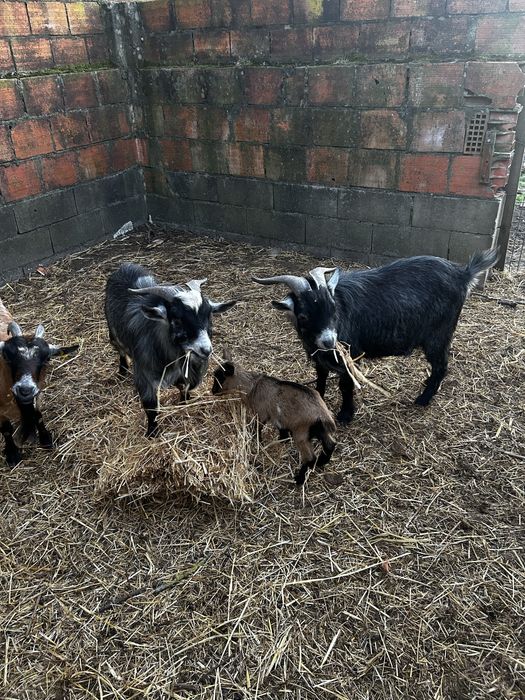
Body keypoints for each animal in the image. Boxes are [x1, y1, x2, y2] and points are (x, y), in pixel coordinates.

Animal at [0, 299, 78, 465]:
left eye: (47, 358)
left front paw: (46, 439)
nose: (25, 389)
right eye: (7, 356)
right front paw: (12, 454)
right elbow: (6, 429)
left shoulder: (38, 392)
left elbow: (38, 415)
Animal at [105, 263, 237, 437]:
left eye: (209, 316)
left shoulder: (183, 373)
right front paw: (152, 432)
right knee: (120, 350)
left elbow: (184, 388)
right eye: (177, 320)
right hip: (113, 333)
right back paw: (122, 370)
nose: (206, 349)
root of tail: (124, 266)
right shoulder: (144, 376)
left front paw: (184, 403)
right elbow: (150, 406)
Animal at [212, 352, 337, 485]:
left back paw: (299, 479)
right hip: (320, 431)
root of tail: (323, 415)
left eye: (221, 378)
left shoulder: (261, 413)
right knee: (330, 444)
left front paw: (258, 442)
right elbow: (282, 430)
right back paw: (321, 463)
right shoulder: (278, 417)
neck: (252, 386)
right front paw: (282, 440)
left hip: (301, 433)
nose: (212, 391)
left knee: (310, 458)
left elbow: (257, 429)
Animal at [253, 249, 498, 424]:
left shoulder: (348, 357)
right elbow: (320, 378)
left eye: (333, 308)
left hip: (438, 335)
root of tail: (463, 274)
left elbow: (345, 385)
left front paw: (345, 415)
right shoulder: (319, 357)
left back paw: (423, 399)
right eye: (303, 315)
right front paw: (318, 399)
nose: (330, 341)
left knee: (441, 366)